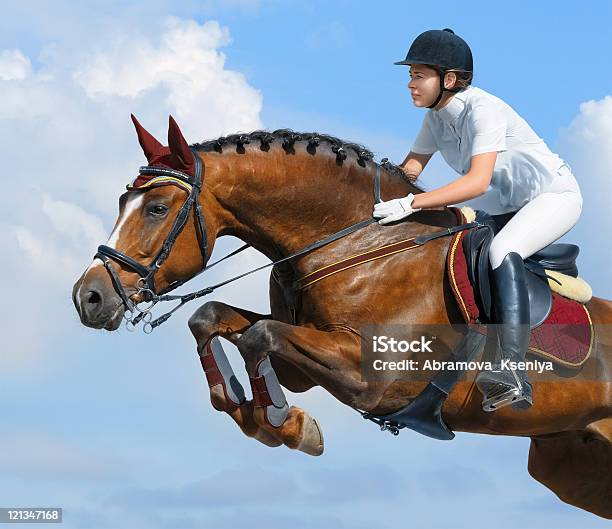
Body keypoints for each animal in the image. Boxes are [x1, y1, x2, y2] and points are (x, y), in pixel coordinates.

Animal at [73, 114, 612, 516]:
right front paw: (271, 419)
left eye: (157, 209)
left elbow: (258, 335)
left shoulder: (372, 378)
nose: (88, 298)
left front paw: (285, 423)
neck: (356, 243)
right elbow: (215, 320)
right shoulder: (306, 358)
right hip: (573, 467)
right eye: (123, 201)